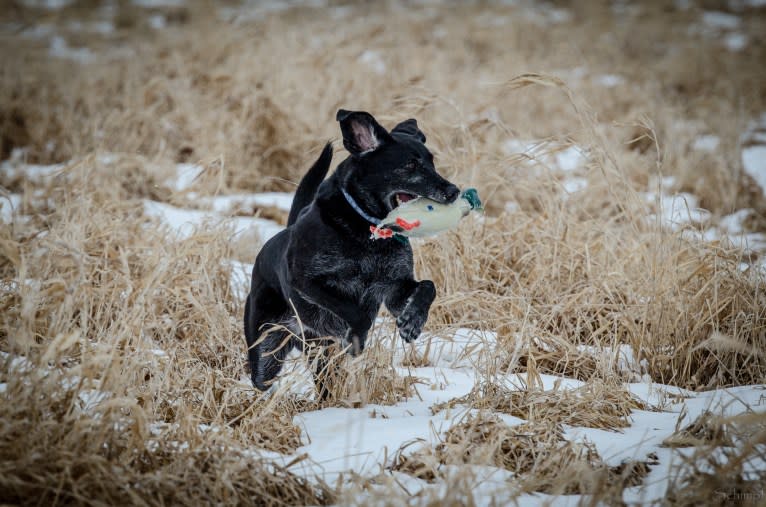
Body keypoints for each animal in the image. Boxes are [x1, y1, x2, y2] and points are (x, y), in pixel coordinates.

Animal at [246, 109, 460, 394]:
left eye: (431, 162)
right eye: (410, 165)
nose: (454, 191)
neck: (367, 232)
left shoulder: (394, 289)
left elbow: (427, 287)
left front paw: (413, 322)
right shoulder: (306, 281)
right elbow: (353, 310)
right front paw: (357, 337)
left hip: (319, 354)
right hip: (266, 350)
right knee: (262, 377)